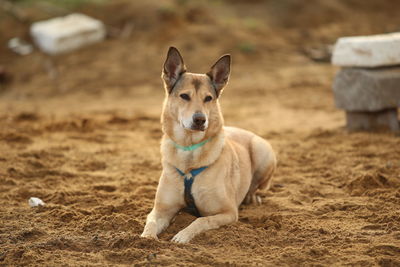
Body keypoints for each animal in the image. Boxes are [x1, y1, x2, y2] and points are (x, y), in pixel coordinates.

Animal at [140, 47, 276, 244]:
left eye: (208, 98)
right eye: (184, 96)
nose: (200, 119)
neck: (189, 149)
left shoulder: (228, 212)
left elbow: (201, 220)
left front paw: (182, 236)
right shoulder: (161, 210)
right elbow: (150, 222)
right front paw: (146, 238)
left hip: (262, 150)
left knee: (256, 185)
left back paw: (252, 197)